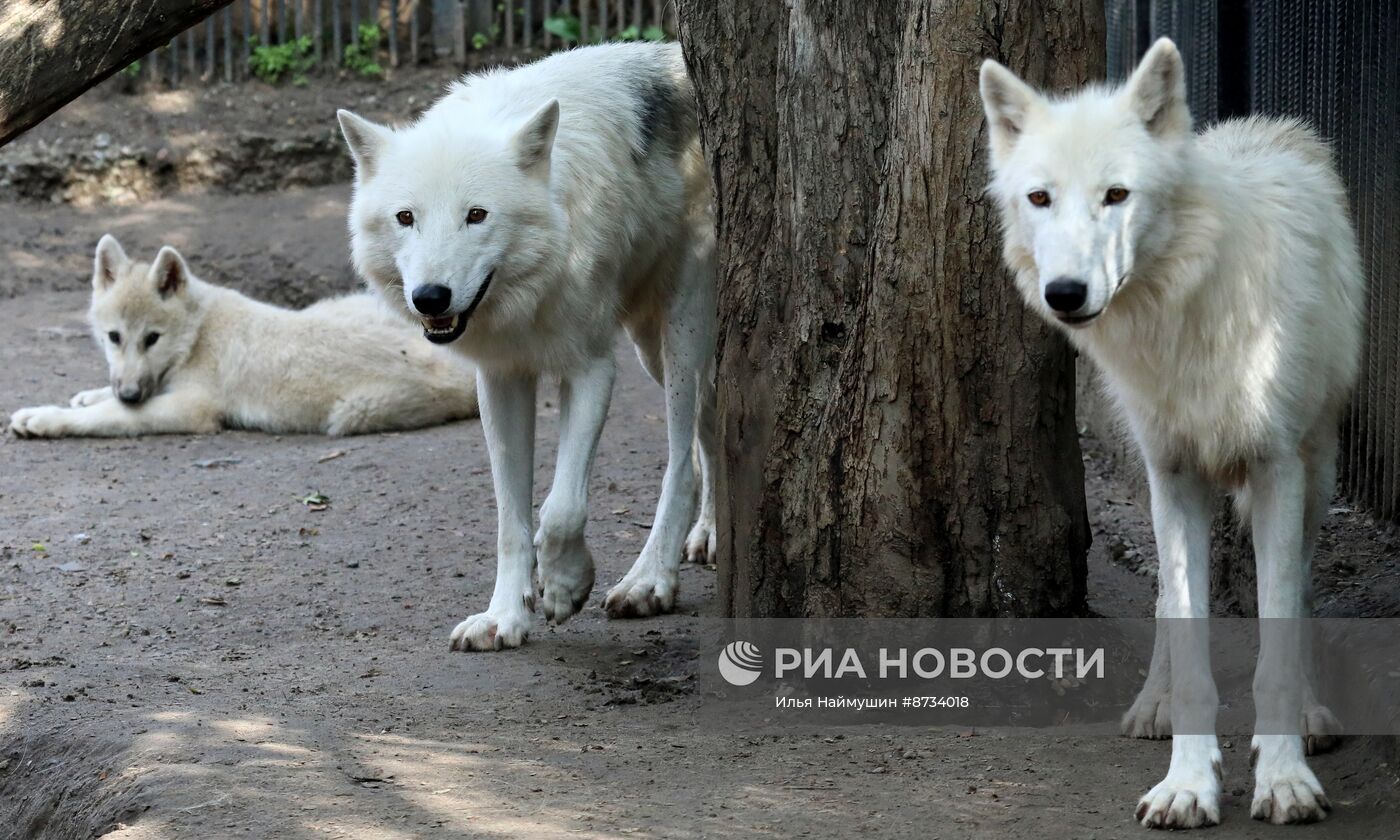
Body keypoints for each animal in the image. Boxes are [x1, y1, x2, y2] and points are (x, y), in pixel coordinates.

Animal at [5, 232, 478, 436]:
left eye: (152, 338)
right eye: (113, 337)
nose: (129, 394)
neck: (195, 335)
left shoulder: (193, 411)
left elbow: (105, 417)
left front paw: (44, 419)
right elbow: (103, 399)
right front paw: (88, 395)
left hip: (350, 415)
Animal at [334, 42, 716, 652]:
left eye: (477, 215)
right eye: (405, 217)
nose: (430, 298)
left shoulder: (590, 368)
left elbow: (559, 508)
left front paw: (564, 586)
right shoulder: (501, 378)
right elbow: (510, 520)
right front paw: (505, 617)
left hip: (681, 331)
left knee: (681, 460)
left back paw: (649, 580)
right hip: (653, 351)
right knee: (713, 425)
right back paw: (708, 534)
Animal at [980, 37, 1360, 828]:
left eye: (1117, 196)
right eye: (1039, 198)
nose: (1066, 294)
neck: (1178, 315)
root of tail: (1266, 127)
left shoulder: (1277, 469)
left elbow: (1278, 638)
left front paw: (1285, 779)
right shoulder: (1172, 472)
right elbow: (1187, 637)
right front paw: (1186, 783)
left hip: (1317, 469)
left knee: (1304, 590)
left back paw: (1314, 713)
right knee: (1164, 598)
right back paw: (1151, 704)